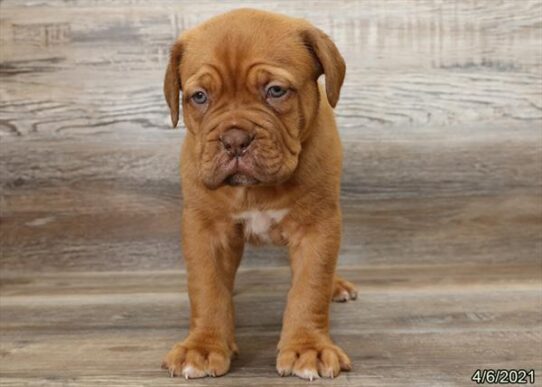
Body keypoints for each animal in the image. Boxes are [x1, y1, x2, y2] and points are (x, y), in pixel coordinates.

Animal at [160, 9, 356, 382]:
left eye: (275, 90)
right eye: (199, 97)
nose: (235, 139)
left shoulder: (318, 227)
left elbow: (310, 287)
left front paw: (308, 348)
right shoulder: (205, 229)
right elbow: (207, 289)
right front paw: (202, 347)